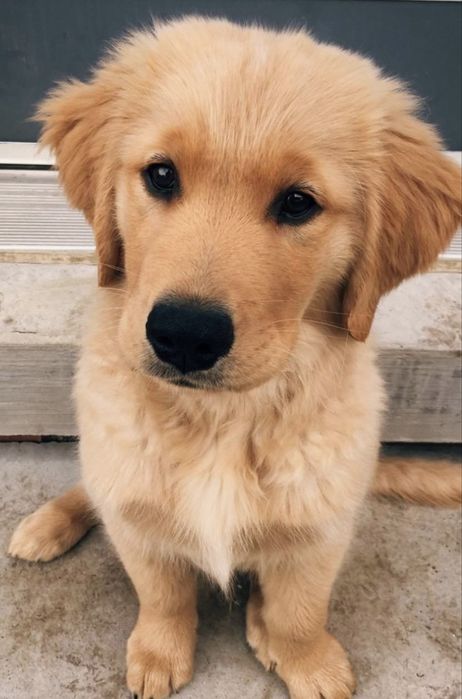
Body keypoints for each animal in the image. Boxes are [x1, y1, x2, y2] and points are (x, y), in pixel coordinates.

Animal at [9, 17, 461, 699]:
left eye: (298, 202)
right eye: (161, 175)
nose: (184, 335)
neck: (224, 419)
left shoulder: (323, 528)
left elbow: (300, 608)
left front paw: (307, 660)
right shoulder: (136, 517)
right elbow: (162, 594)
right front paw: (158, 654)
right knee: (91, 487)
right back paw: (44, 526)